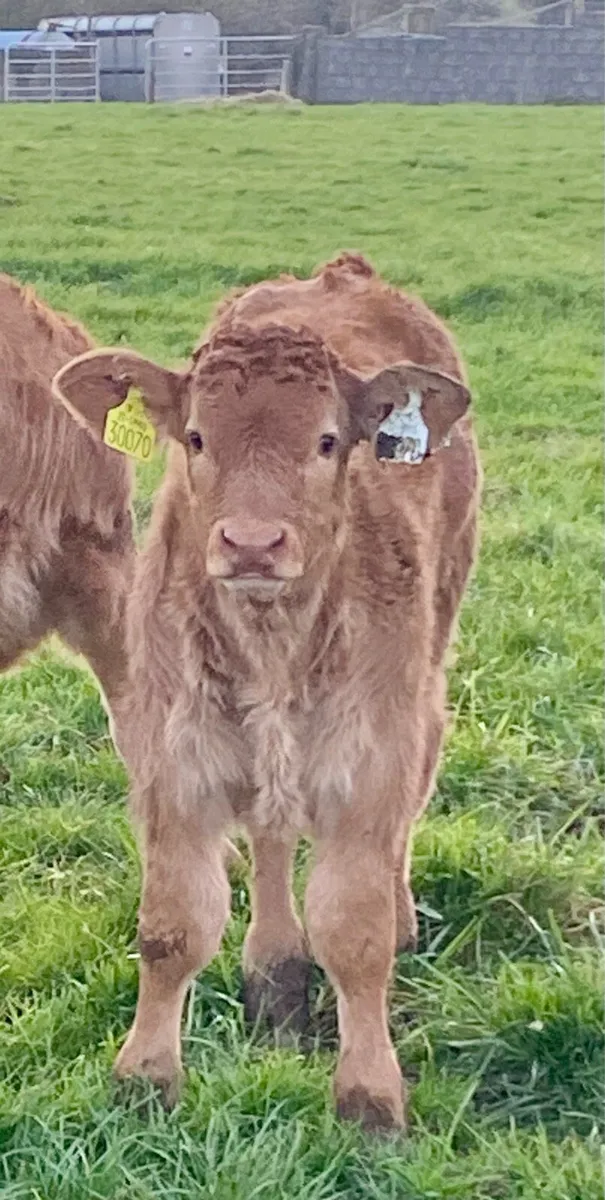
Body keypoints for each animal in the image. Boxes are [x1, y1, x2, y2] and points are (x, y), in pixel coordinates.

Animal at [52, 252, 480, 1133]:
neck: (271, 646)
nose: (252, 543)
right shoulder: (173, 758)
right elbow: (173, 927)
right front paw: (144, 1079)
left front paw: (369, 1096)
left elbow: (355, 930)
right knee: (273, 835)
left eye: (327, 440)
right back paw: (275, 970)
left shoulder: (370, 757)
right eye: (194, 438)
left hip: (428, 666)